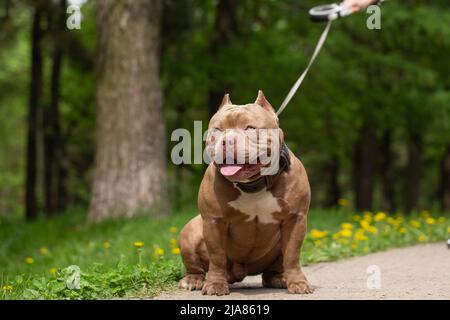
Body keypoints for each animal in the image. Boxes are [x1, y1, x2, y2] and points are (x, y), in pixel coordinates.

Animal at [177, 90, 312, 296]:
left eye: (250, 128)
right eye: (217, 130)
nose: (227, 140)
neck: (253, 185)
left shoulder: (295, 219)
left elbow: (292, 254)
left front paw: (298, 282)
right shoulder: (214, 221)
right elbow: (217, 257)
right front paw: (215, 284)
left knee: (275, 266)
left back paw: (280, 278)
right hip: (189, 233)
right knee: (196, 266)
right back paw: (192, 280)